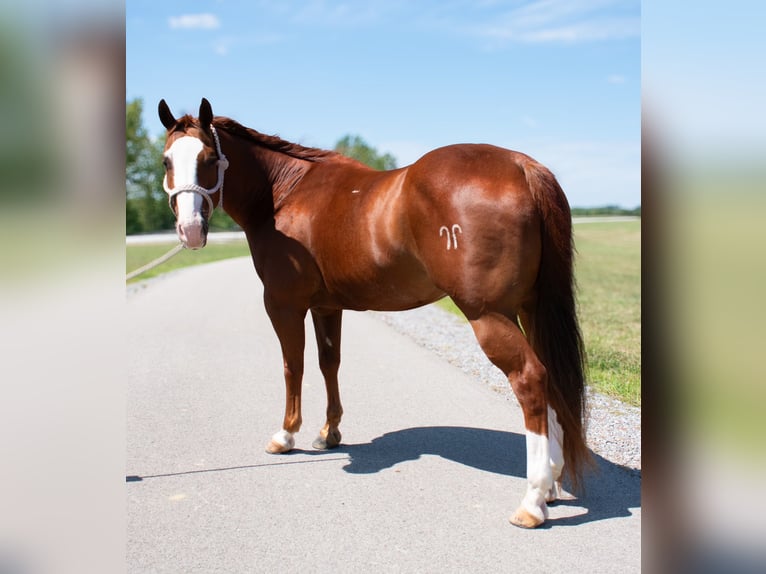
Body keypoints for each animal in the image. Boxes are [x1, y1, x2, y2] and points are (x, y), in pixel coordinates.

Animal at [156, 99, 588, 532]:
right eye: (166, 161)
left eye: (210, 158)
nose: (190, 230)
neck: (285, 194)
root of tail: (520, 165)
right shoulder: (326, 306)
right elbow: (329, 363)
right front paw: (329, 432)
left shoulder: (283, 304)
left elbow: (293, 366)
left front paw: (286, 435)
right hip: (529, 309)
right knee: (550, 377)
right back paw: (552, 484)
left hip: (489, 315)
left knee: (530, 379)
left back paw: (533, 500)